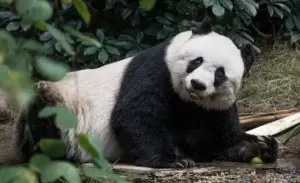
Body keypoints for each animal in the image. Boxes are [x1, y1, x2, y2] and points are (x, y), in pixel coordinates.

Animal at [6, 16, 276, 168]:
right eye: (196, 61)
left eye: (220, 74)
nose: (197, 84)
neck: (187, 100)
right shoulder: (155, 70)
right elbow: (135, 115)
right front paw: (174, 159)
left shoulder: (213, 108)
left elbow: (218, 138)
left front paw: (261, 146)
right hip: (66, 111)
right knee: (45, 122)